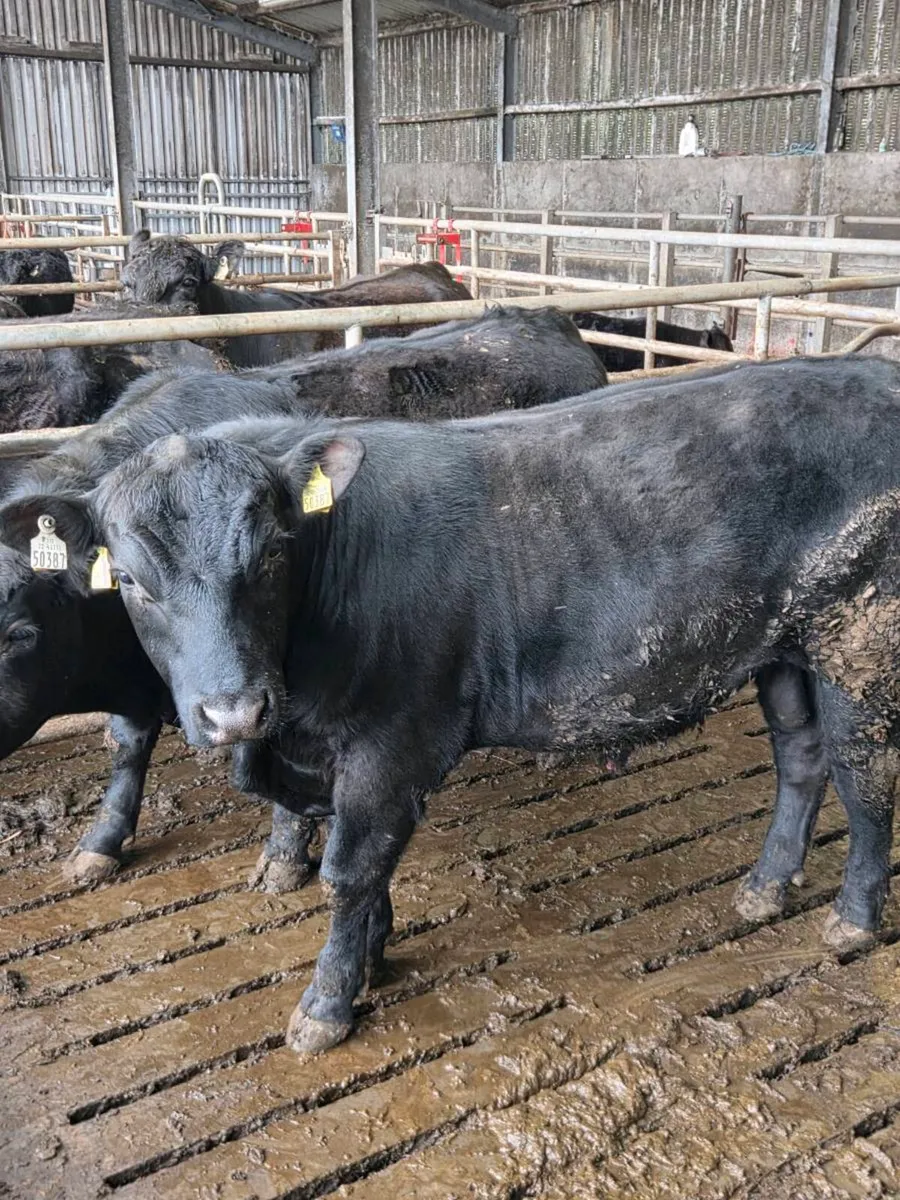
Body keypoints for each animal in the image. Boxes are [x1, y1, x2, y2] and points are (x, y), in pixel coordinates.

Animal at [62, 354, 900, 1055]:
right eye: (129, 580)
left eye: (272, 551)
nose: (232, 711)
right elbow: (365, 869)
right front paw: (372, 957)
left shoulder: (394, 743)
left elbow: (350, 871)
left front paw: (327, 1004)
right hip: (783, 647)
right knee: (801, 755)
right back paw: (766, 885)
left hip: (859, 638)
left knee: (865, 776)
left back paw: (853, 919)